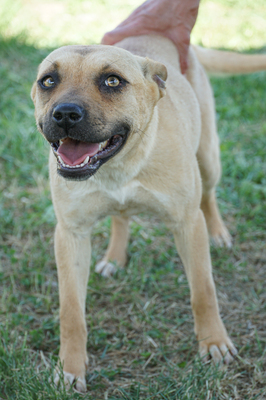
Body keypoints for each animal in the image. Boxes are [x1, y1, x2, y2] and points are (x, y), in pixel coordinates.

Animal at [31, 36, 266, 392]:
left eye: (112, 81)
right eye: (48, 81)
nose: (65, 114)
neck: (119, 167)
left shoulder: (187, 223)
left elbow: (203, 291)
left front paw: (214, 342)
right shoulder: (71, 234)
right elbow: (71, 312)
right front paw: (70, 367)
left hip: (209, 158)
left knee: (208, 195)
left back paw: (218, 233)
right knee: (121, 216)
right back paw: (114, 257)